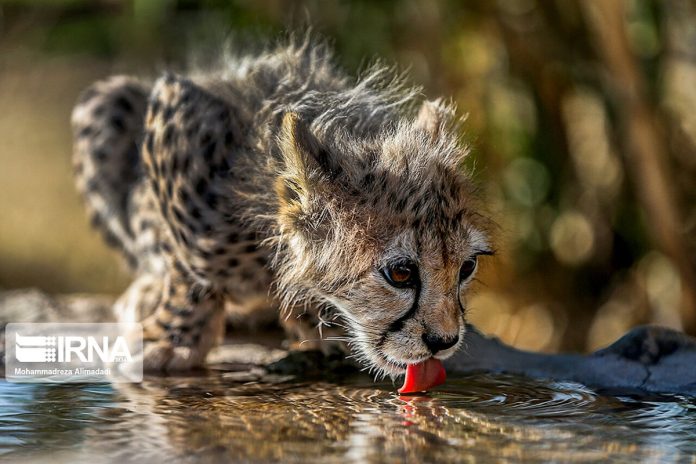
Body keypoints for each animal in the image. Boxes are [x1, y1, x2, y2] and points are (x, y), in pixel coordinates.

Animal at [70, 36, 493, 378]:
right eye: (401, 273)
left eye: (467, 267)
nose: (444, 341)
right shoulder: (177, 110)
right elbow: (190, 266)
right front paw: (174, 340)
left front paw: (316, 323)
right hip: (103, 101)